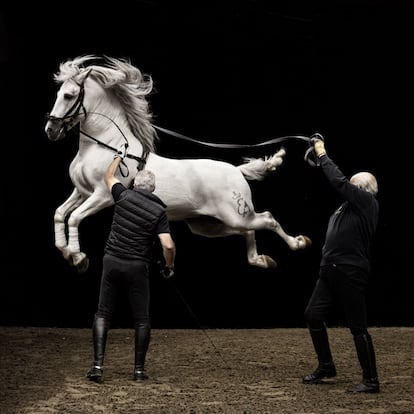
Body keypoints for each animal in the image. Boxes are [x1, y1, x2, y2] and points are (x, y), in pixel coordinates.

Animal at [44, 55, 310, 274]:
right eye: (57, 94)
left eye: (68, 95)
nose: (51, 130)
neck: (108, 145)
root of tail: (237, 171)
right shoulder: (82, 191)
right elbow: (59, 214)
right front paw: (66, 251)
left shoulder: (102, 195)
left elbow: (74, 218)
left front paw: (78, 257)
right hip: (208, 225)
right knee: (249, 230)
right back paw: (261, 260)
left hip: (235, 216)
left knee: (267, 219)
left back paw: (298, 242)